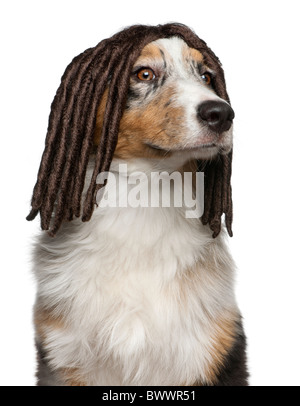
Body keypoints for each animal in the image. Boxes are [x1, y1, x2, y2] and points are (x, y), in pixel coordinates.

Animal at [28, 23, 248, 386]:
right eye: (143, 73)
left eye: (206, 76)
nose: (222, 114)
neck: (146, 194)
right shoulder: (63, 353)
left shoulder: (213, 345)